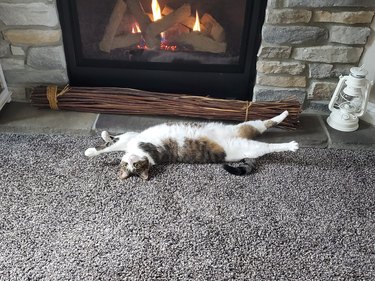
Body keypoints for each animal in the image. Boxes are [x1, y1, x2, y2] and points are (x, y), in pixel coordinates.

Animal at [83, 109, 298, 179]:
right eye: (129, 167)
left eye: (135, 165)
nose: (129, 162)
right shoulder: (136, 142)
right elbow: (111, 144)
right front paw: (100, 141)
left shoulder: (132, 138)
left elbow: (110, 144)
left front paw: (94, 146)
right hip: (246, 137)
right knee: (266, 135)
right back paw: (288, 129)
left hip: (246, 133)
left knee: (267, 132)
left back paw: (287, 124)